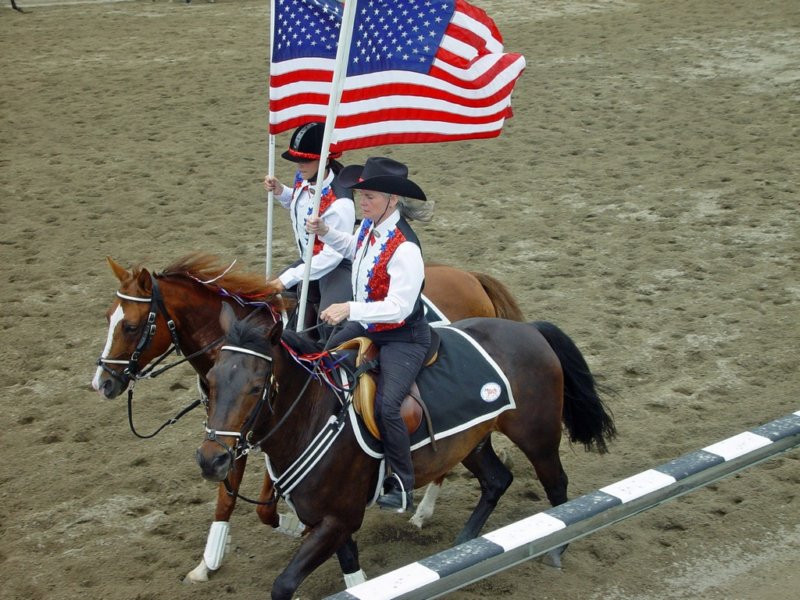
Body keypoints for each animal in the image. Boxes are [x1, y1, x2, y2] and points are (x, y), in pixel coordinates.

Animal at [90, 252, 525, 582]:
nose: (103, 382)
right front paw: (206, 563)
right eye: (108, 316)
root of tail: (471, 277)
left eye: (130, 326)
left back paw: (422, 509)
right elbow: (227, 497)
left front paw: (291, 525)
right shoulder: (232, 435)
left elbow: (265, 505)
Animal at [197, 304, 617, 599]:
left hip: (538, 438)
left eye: (256, 386)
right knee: (498, 480)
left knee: (557, 486)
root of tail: (528, 329)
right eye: (209, 381)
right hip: (471, 442)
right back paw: (463, 547)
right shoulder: (330, 519)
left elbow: (284, 585)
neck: (315, 417)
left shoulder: (340, 519)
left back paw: (556, 551)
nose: (211, 459)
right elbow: (352, 568)